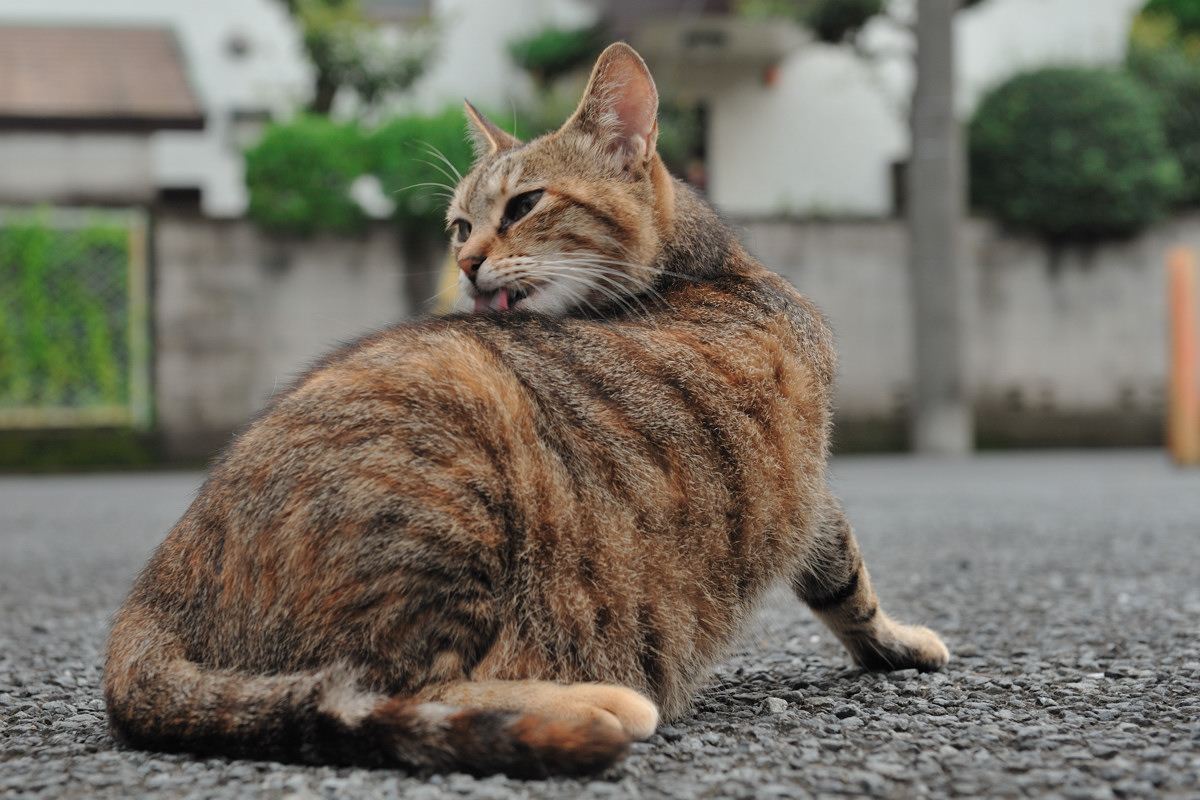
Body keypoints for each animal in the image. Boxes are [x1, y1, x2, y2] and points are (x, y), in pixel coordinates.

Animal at [100, 42, 945, 777]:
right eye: (459, 225)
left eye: (524, 204)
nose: (465, 262)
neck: (710, 271)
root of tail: (149, 601)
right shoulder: (809, 482)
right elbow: (847, 575)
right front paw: (898, 641)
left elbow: (838, 573)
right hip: (449, 485)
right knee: (388, 690)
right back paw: (599, 703)